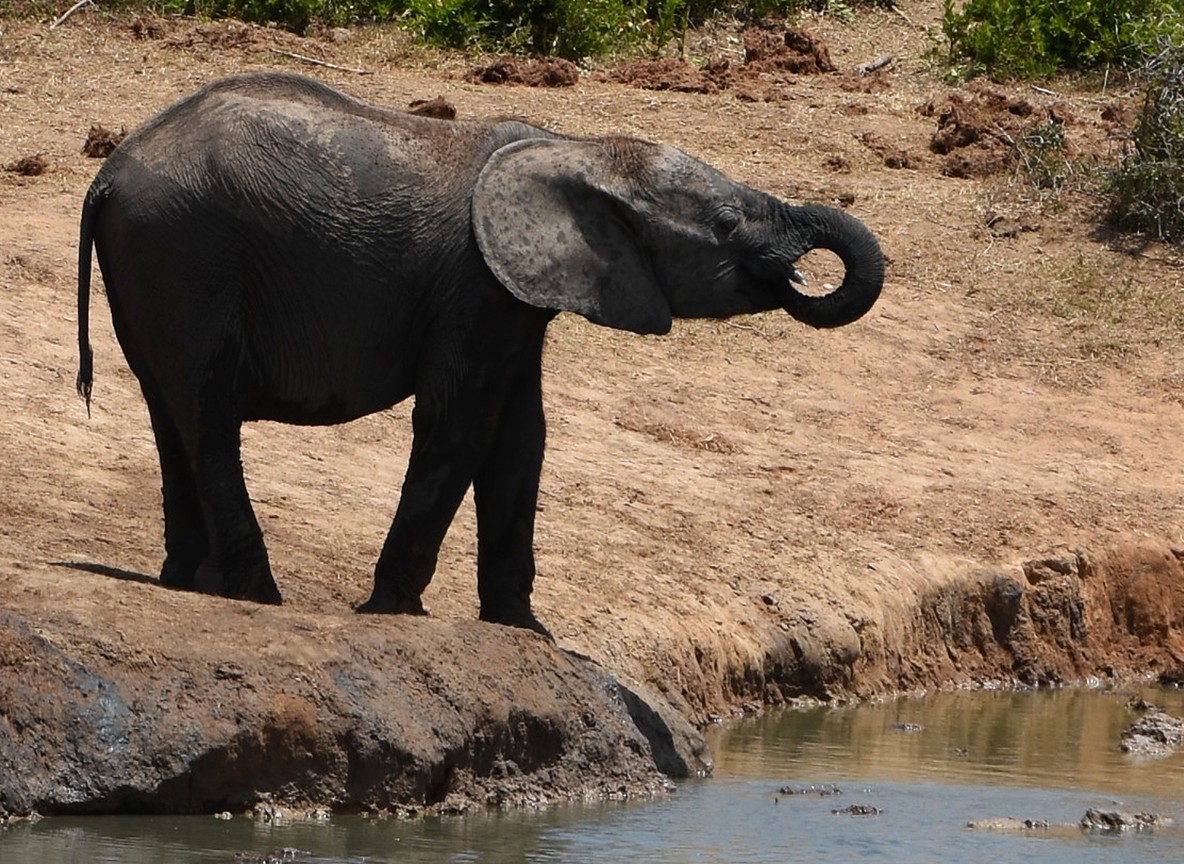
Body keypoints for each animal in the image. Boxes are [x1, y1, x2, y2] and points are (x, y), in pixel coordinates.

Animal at [76, 71, 883, 634]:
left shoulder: (514, 300)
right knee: (208, 416)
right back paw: (257, 595)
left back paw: (187, 582)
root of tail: (107, 174)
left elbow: (522, 440)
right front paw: (394, 611)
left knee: (170, 410)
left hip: (160, 265)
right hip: (189, 254)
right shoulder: (474, 285)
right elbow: (460, 427)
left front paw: (527, 631)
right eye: (725, 223)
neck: (576, 146)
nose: (797, 271)